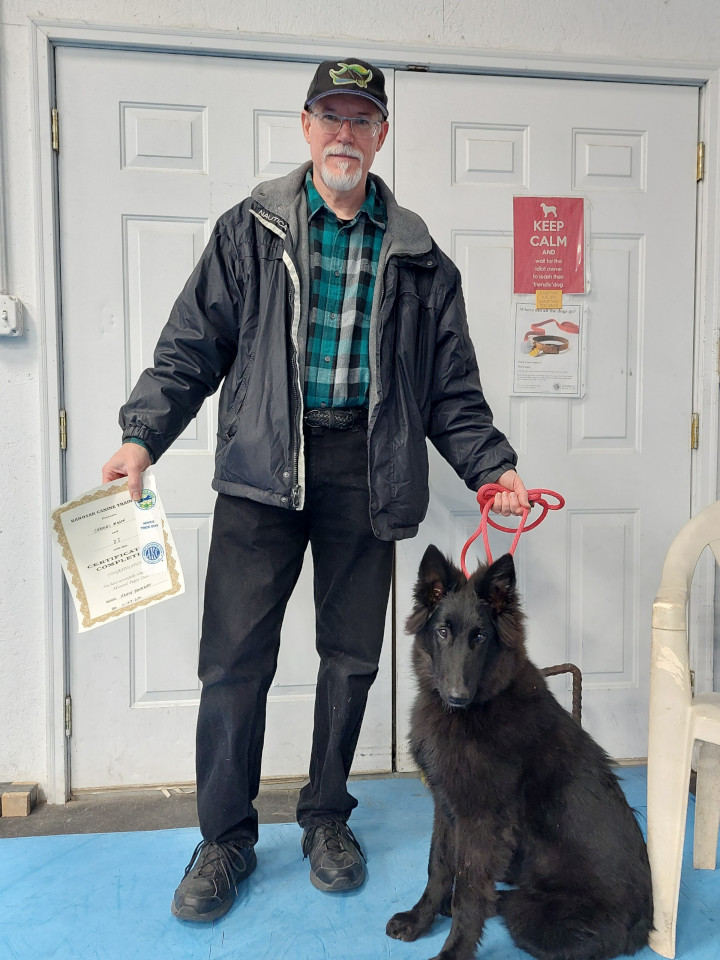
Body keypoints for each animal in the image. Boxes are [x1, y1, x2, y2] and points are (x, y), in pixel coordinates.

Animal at [388, 548, 652, 960]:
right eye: (443, 631)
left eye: (480, 636)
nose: (457, 696)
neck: (480, 706)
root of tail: (643, 926)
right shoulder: (447, 806)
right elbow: (439, 865)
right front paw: (420, 919)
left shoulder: (480, 819)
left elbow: (468, 891)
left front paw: (454, 949)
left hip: (530, 918)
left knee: (505, 905)